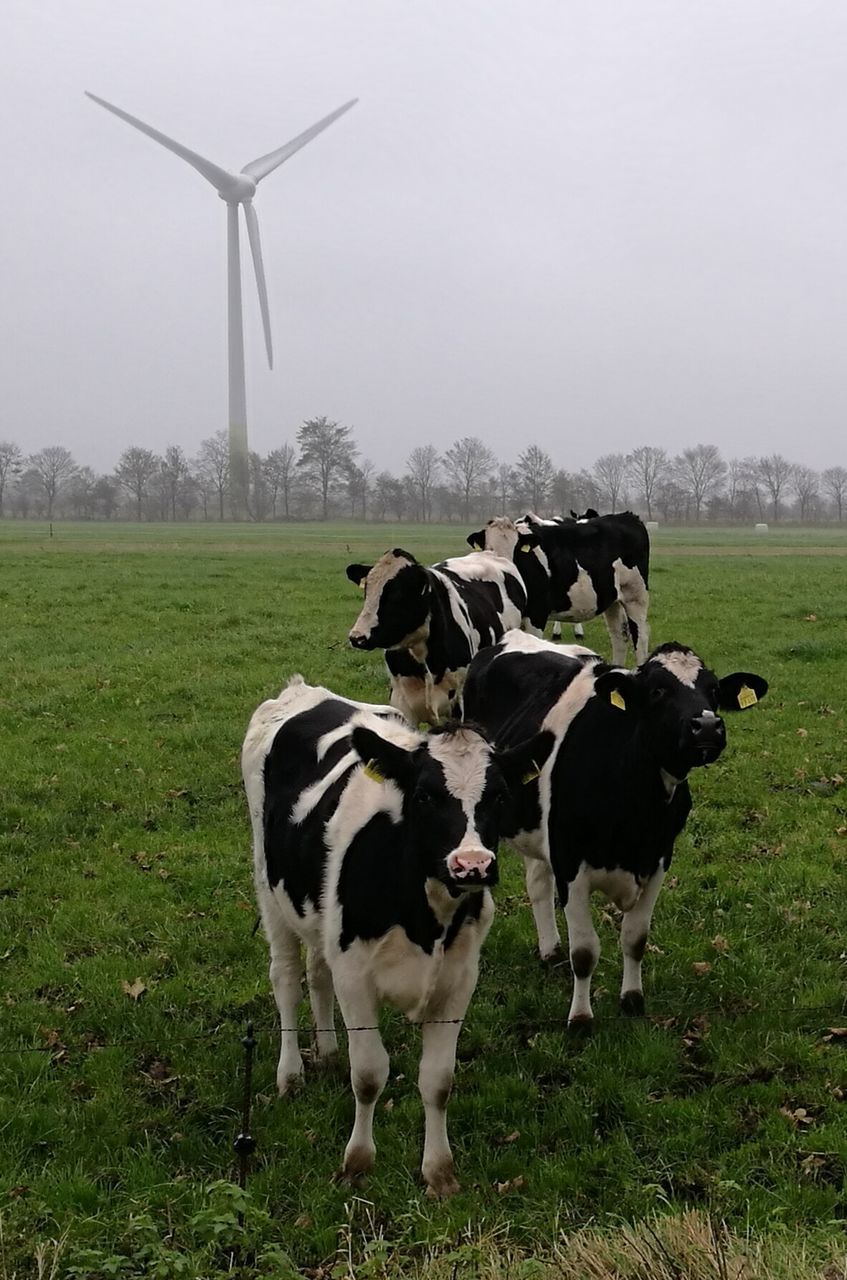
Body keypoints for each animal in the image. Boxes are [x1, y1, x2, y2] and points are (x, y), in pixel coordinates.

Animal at [241, 675, 555, 1192]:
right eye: (425, 795)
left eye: (499, 796)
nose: (472, 865)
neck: (425, 916)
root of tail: (303, 690)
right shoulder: (355, 977)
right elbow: (369, 1074)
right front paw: (357, 1162)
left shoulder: (459, 979)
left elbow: (438, 1080)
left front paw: (439, 1172)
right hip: (270, 888)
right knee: (286, 979)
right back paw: (291, 1075)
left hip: (318, 917)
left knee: (316, 972)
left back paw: (328, 1052)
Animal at [460, 634, 772, 1024]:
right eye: (657, 691)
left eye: (713, 690)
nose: (708, 726)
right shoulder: (570, 863)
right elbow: (584, 952)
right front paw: (580, 1019)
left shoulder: (657, 858)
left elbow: (635, 938)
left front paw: (632, 1000)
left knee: (537, 883)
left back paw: (550, 950)